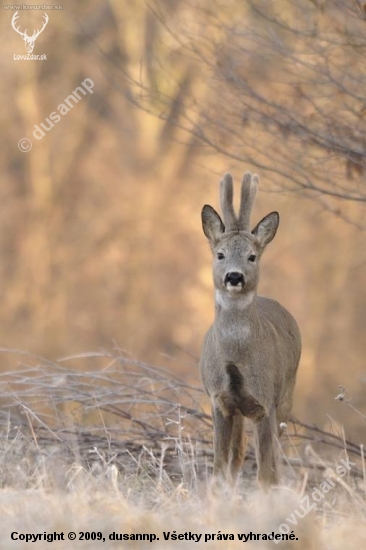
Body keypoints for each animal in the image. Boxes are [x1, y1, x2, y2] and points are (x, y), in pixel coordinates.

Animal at [200, 171, 300, 488]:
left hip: (287, 395)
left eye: (252, 256)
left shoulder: (265, 402)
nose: (234, 276)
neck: (236, 357)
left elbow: (265, 471)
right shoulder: (220, 401)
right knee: (238, 453)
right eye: (220, 254)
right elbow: (220, 465)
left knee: (275, 457)